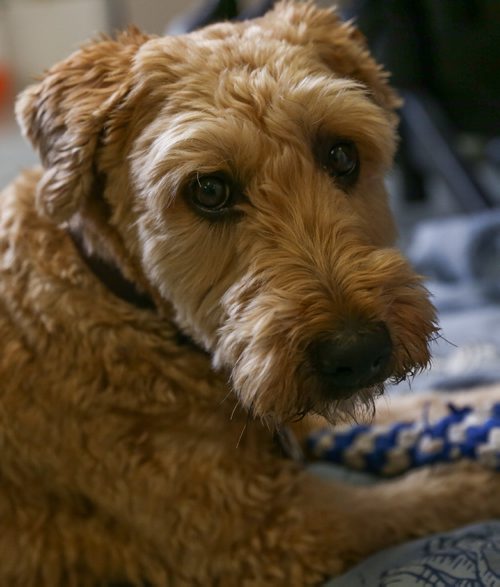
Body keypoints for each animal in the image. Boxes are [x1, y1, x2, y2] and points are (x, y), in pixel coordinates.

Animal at [2, 2, 500, 584]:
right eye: (209, 189)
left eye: (341, 154)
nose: (359, 353)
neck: (120, 297)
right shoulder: (259, 540)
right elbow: (427, 500)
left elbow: (423, 405)